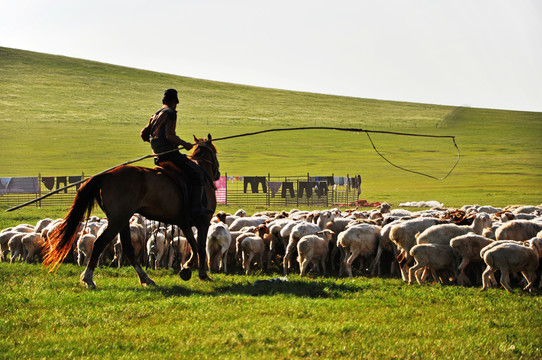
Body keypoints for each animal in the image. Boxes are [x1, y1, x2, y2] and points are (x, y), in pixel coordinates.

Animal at [43, 134, 220, 288]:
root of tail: (105, 176)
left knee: (127, 248)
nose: (217, 174)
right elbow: (200, 247)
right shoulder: (203, 221)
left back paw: (146, 279)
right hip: (117, 220)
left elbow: (194, 245)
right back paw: (88, 279)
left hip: (122, 220)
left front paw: (187, 268)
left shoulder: (184, 222)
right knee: (100, 243)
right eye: (215, 151)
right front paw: (200, 273)